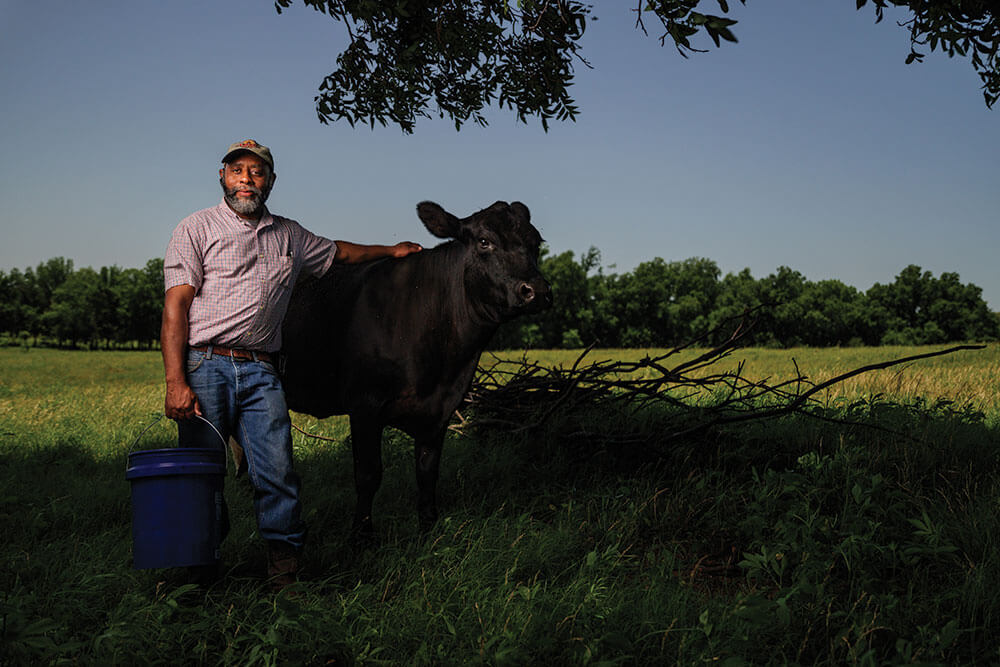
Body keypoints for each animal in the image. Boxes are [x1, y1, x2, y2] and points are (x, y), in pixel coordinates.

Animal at [278, 201, 552, 536]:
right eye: (484, 241)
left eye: (535, 242)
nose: (536, 290)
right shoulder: (364, 404)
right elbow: (368, 475)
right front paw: (361, 535)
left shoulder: (441, 410)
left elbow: (427, 473)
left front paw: (428, 529)